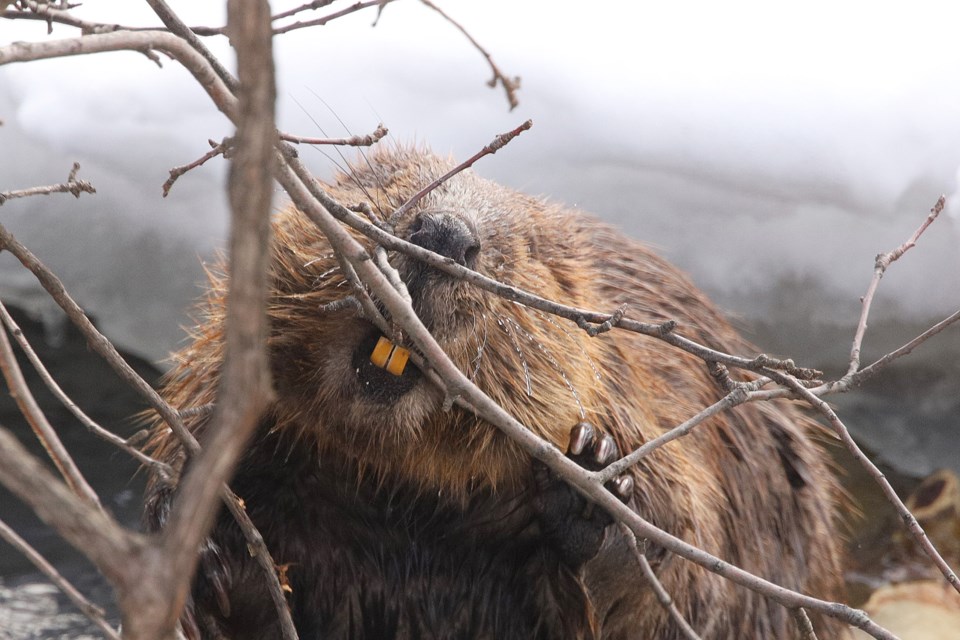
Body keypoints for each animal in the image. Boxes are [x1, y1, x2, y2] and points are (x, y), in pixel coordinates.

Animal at [141, 146, 840, 640]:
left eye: (527, 249)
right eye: (388, 181)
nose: (445, 233)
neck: (400, 499)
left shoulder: (659, 418)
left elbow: (688, 580)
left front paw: (595, 480)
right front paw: (209, 547)